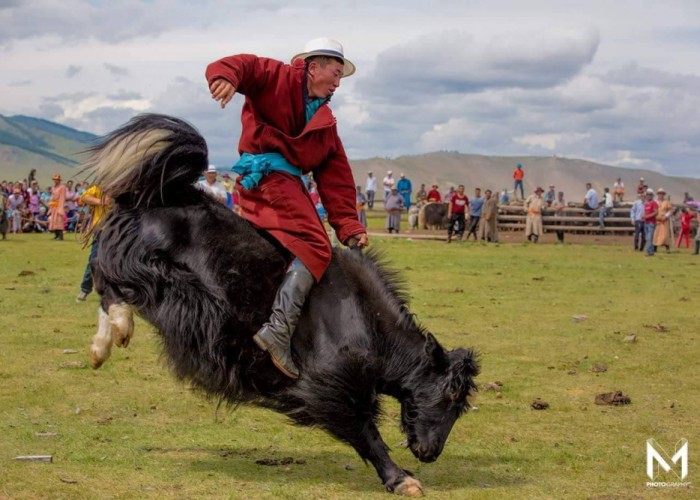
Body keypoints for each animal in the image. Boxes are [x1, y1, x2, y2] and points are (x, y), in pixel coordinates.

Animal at [85, 115, 478, 498]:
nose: (430, 453)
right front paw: (402, 480)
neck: (369, 323)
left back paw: (101, 348)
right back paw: (118, 328)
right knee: (107, 280)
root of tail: (153, 193)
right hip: (149, 270)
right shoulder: (330, 387)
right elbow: (366, 432)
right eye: (450, 393)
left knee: (105, 285)